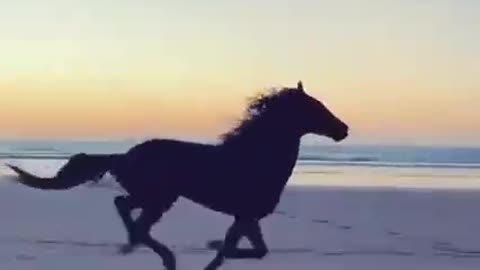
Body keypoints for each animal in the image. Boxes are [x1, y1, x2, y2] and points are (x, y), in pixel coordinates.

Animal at [7, 80, 348, 270]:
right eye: (316, 108)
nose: (343, 130)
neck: (256, 159)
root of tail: (125, 156)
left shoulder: (246, 218)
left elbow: (251, 252)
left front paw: (214, 247)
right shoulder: (246, 217)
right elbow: (232, 251)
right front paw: (212, 244)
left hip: (154, 197)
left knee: (127, 210)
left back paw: (137, 245)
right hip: (159, 198)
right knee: (131, 215)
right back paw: (158, 254)